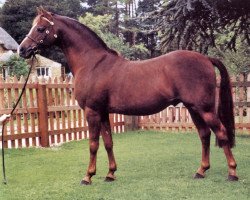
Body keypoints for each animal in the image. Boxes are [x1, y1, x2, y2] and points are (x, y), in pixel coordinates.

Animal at [19, 7, 238, 184]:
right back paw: (201, 171)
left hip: (205, 109)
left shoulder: (92, 111)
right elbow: (108, 142)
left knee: (221, 133)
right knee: (204, 135)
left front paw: (88, 176)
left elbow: (93, 144)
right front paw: (110, 174)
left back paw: (232, 173)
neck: (92, 63)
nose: (22, 49)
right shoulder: (103, 112)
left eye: (40, 29)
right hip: (193, 108)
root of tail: (206, 58)